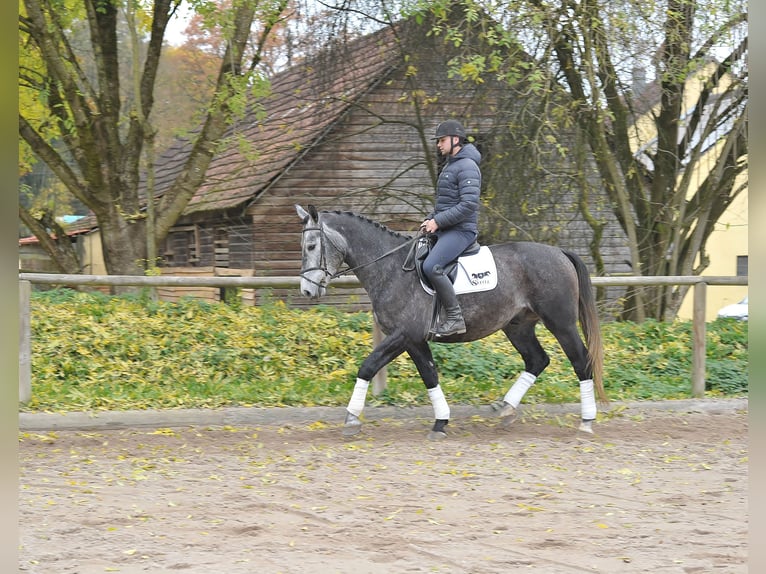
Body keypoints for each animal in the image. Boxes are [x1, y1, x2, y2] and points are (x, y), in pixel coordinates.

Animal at [296, 207, 608, 440]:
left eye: (311, 246)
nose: (307, 291)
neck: (392, 268)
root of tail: (560, 253)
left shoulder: (403, 335)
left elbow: (368, 367)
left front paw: (351, 418)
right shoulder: (413, 340)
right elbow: (429, 375)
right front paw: (440, 422)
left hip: (561, 323)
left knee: (581, 361)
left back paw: (586, 422)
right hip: (517, 326)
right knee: (537, 360)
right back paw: (505, 408)